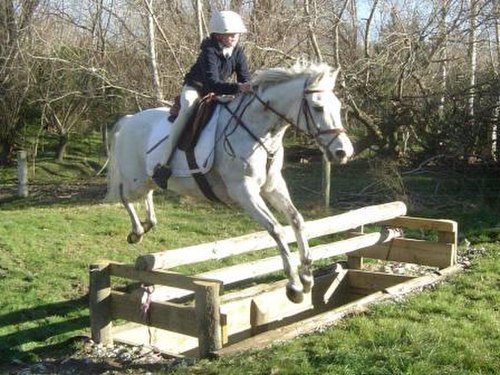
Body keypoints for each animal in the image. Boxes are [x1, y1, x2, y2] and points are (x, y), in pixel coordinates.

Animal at [107, 61, 354, 302]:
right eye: (318, 108)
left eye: (338, 106)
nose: (343, 152)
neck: (260, 130)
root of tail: (129, 120)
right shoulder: (243, 191)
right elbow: (276, 229)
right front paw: (294, 285)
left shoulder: (273, 185)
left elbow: (297, 220)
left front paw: (307, 276)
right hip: (135, 179)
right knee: (123, 194)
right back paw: (137, 231)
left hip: (145, 179)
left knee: (147, 193)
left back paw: (148, 223)